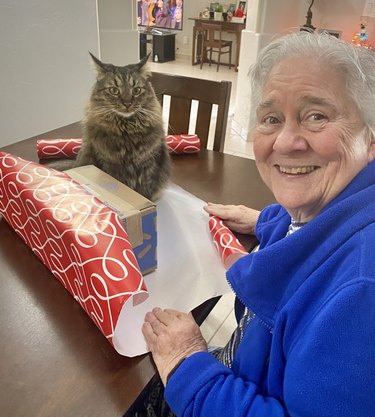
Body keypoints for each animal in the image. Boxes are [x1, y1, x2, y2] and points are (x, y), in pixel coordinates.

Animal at [74, 52, 171, 200]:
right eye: (114, 90)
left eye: (136, 90)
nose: (127, 103)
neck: (127, 131)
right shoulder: (110, 165)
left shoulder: (148, 166)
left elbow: (144, 193)